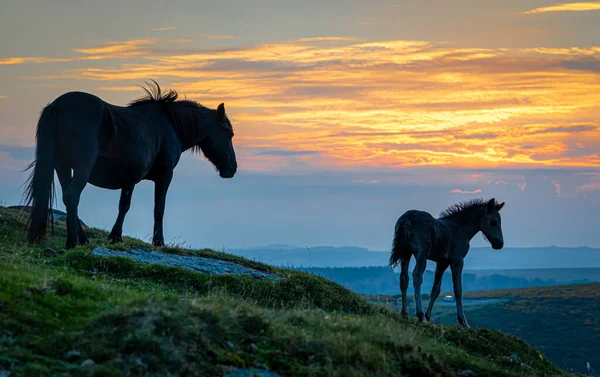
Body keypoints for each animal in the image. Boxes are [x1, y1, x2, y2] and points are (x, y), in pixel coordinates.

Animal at [24, 81, 239, 248]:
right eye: (229, 133)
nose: (233, 168)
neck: (170, 125)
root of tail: (58, 106)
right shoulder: (165, 176)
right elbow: (159, 208)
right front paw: (159, 241)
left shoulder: (130, 177)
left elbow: (124, 205)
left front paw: (115, 236)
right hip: (81, 168)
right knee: (72, 196)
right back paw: (71, 242)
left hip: (62, 166)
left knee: (68, 197)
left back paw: (82, 238)